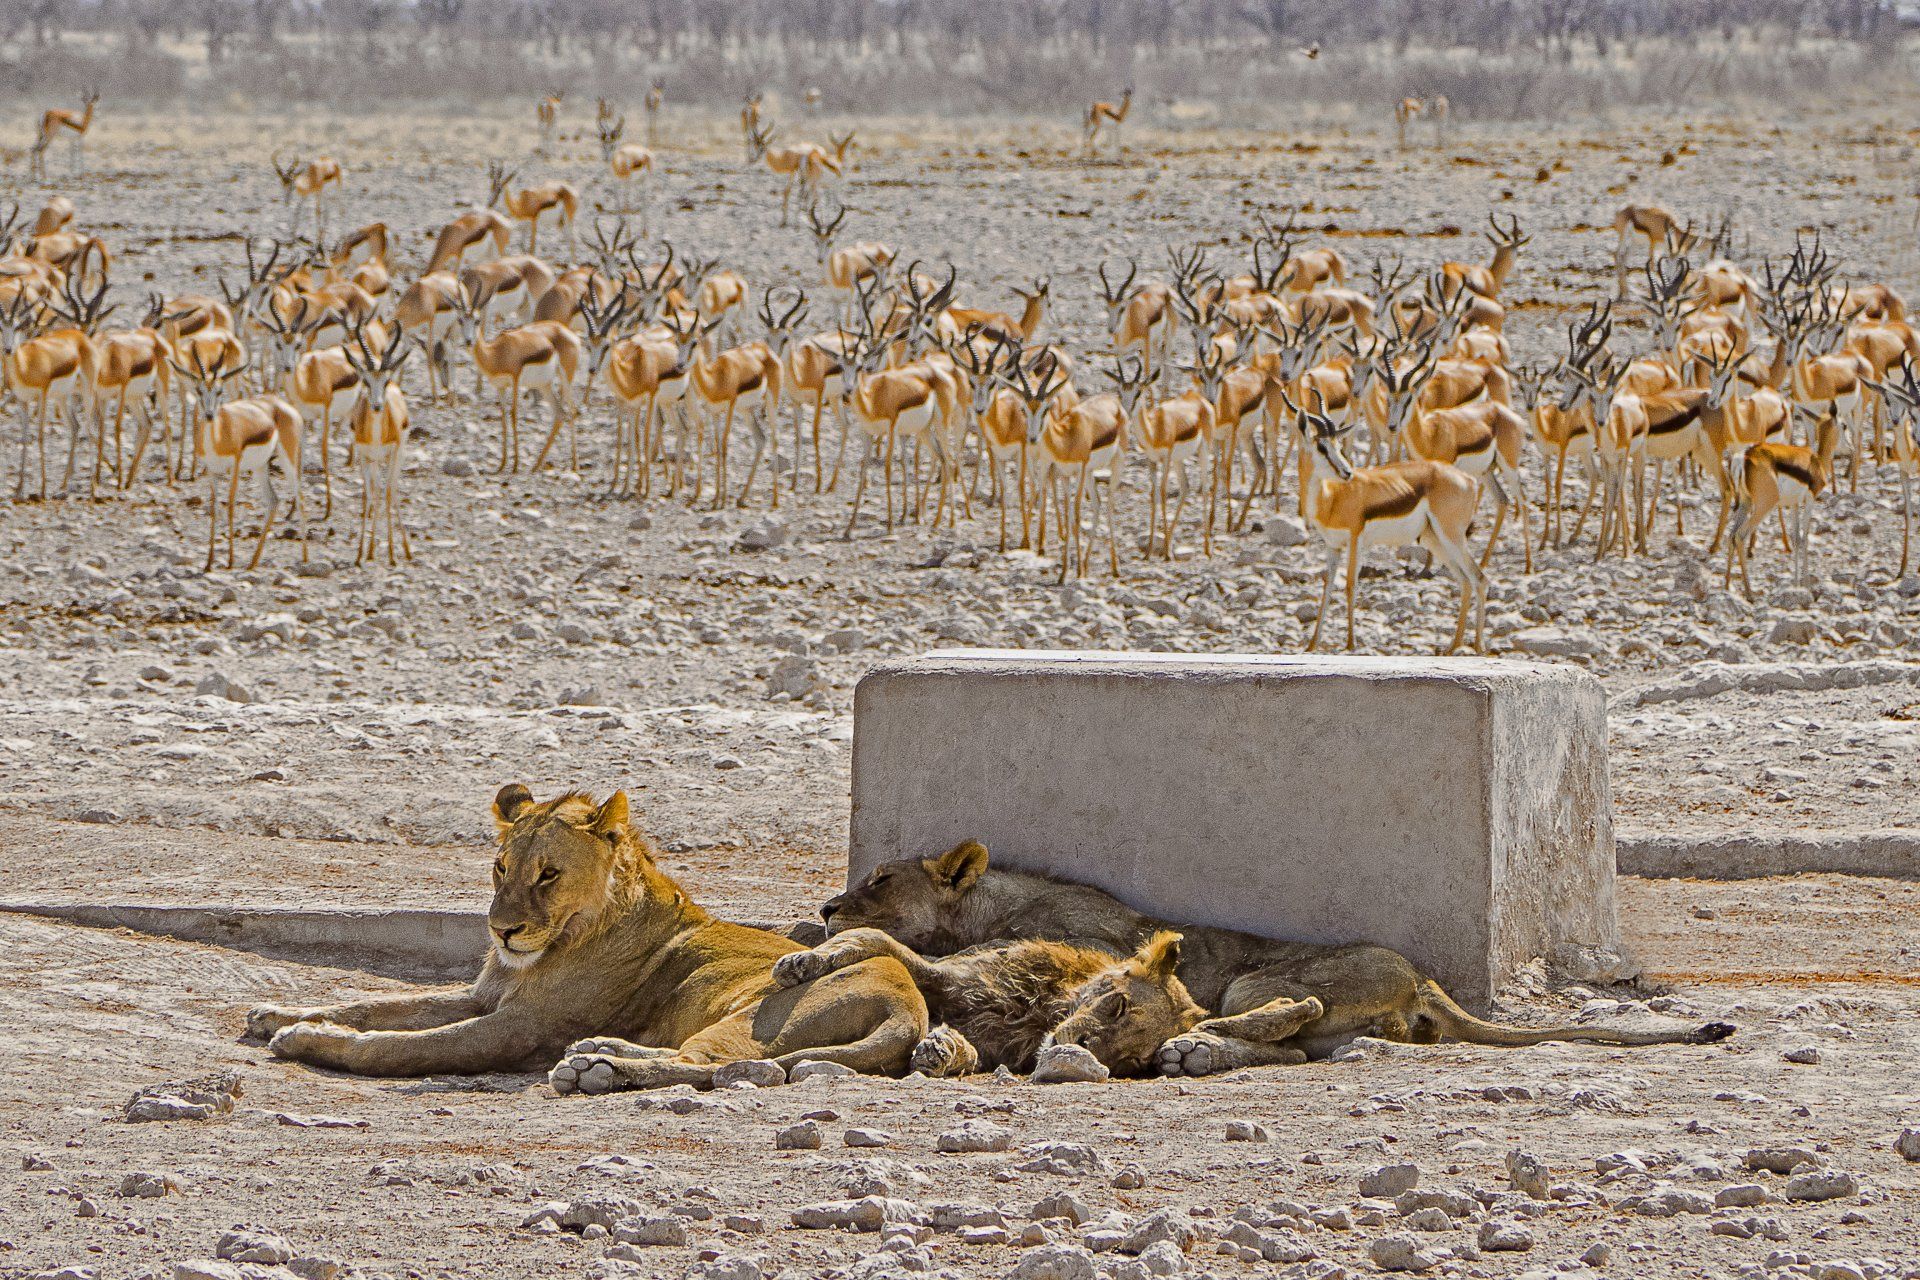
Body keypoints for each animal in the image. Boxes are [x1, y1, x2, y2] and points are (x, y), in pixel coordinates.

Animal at [246, 785, 927, 1091]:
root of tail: (912, 1005)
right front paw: (277, 1012)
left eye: (548, 874)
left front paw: (307, 1036)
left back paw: (595, 1068)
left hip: (757, 1009)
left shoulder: (519, 1027)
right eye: (501, 868)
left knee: (711, 1065)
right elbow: (374, 1003)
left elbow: (403, 1047)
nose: (501, 929)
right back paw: (596, 1050)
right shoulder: (480, 997)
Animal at [773, 928, 1190, 1077]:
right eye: (1118, 1006)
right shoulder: (948, 974)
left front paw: (941, 1050)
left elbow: (970, 1055)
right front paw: (802, 964)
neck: (1038, 1016)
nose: (1085, 1049)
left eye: (1131, 1061)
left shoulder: (994, 1050)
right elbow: (875, 938)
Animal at [820, 841, 1733, 1077]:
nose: (828, 905)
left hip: (1259, 976)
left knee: (1288, 1019)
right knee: (1296, 1045)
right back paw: (1197, 1051)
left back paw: (1195, 1047)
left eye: (880, 880)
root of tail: (1424, 976)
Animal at [1287, 396, 1486, 653]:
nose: (1348, 472)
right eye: (1322, 447)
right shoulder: (1333, 546)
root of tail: (1468, 480)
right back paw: (1453, 647)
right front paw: (1312, 644)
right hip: (1435, 539)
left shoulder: (1355, 539)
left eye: (1338, 446)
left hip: (1451, 536)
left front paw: (1351, 643)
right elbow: (1327, 587)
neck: (1333, 498)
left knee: (1479, 578)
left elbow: (1350, 585)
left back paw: (1478, 647)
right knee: (1465, 581)